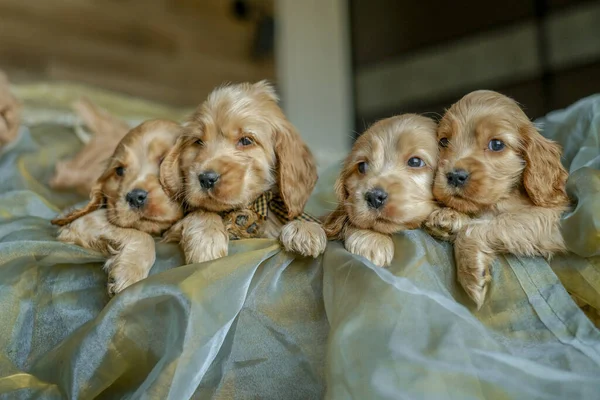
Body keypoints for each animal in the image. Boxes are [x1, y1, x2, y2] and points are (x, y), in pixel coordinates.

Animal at [51, 120, 183, 296]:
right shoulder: (82, 221)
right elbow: (142, 235)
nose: (135, 197)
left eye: (164, 161)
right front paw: (128, 273)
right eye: (119, 170)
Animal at [159, 80, 326, 264]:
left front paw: (305, 229)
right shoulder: (166, 235)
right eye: (198, 142)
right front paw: (206, 239)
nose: (206, 178)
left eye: (246, 140)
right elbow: (202, 211)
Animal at [424, 90, 568, 310]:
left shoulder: (549, 219)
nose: (454, 176)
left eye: (497, 144)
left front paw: (470, 274)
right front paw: (448, 216)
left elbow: (483, 226)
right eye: (443, 142)